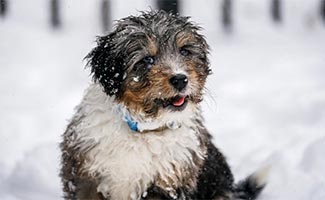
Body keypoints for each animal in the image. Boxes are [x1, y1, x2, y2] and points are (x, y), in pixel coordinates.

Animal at [60, 10, 266, 200]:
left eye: (185, 51)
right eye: (147, 59)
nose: (180, 79)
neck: (144, 129)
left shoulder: (169, 181)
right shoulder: (86, 175)